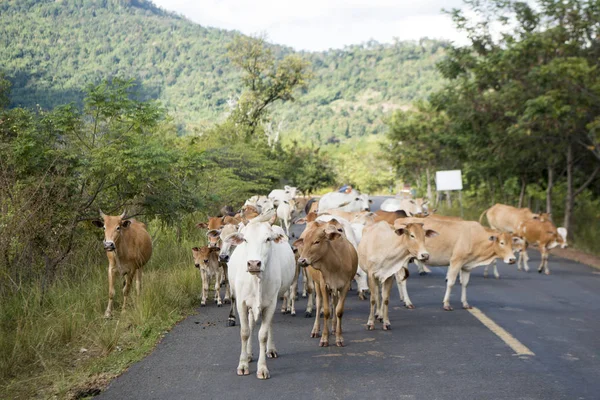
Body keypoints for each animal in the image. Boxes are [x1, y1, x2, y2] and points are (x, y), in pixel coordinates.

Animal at [223, 211, 296, 380]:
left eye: (268, 239)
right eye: (245, 239)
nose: (254, 264)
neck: (256, 279)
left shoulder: (270, 304)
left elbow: (262, 334)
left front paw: (262, 368)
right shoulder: (241, 303)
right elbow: (244, 332)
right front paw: (243, 364)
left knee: (268, 325)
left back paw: (271, 349)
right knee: (250, 325)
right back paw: (249, 354)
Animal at [294, 220, 358, 348]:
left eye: (316, 241)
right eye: (304, 242)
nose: (301, 260)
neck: (335, 264)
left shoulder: (344, 286)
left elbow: (339, 311)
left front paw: (339, 337)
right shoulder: (324, 285)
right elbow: (327, 312)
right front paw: (324, 338)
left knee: (334, 303)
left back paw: (333, 328)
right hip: (317, 285)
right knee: (319, 305)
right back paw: (315, 330)